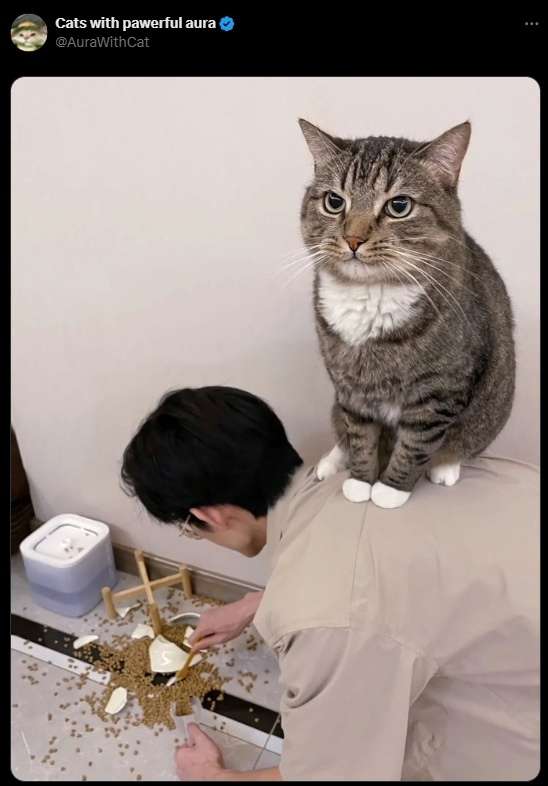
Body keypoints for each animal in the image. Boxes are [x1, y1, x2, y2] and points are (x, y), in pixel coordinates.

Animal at [298, 119, 515, 509]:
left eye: (399, 206)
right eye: (334, 201)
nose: (353, 239)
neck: (370, 295)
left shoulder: (440, 391)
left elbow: (415, 444)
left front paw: (390, 490)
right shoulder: (350, 389)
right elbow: (360, 435)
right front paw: (360, 481)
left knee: (460, 444)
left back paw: (446, 467)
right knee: (341, 428)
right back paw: (331, 460)